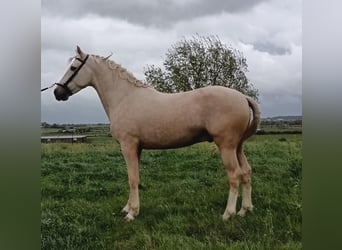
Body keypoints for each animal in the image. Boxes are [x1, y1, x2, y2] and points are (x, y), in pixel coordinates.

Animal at [53, 46, 260, 221]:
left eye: (73, 67)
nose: (57, 92)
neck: (125, 97)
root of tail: (242, 97)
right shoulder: (137, 149)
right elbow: (135, 177)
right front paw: (128, 208)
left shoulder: (128, 146)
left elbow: (132, 179)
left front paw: (132, 214)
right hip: (237, 146)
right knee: (246, 172)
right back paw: (245, 210)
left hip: (226, 146)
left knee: (234, 175)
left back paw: (228, 213)